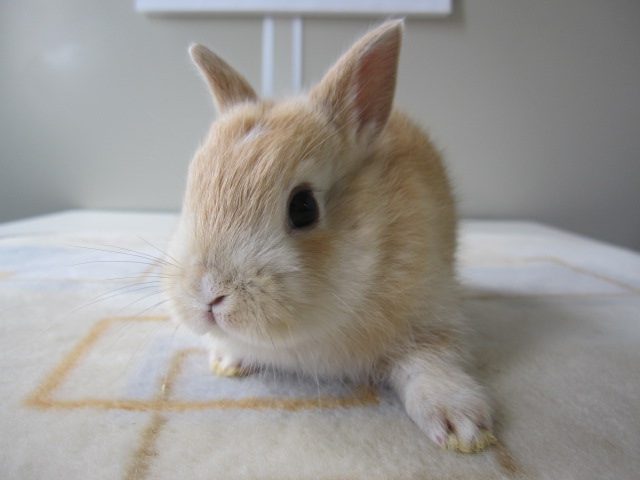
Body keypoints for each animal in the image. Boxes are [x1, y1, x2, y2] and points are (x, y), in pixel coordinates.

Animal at [164, 20, 494, 453]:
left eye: (304, 207)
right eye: (190, 190)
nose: (209, 294)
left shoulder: (434, 315)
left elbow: (431, 362)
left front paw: (463, 428)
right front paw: (227, 360)